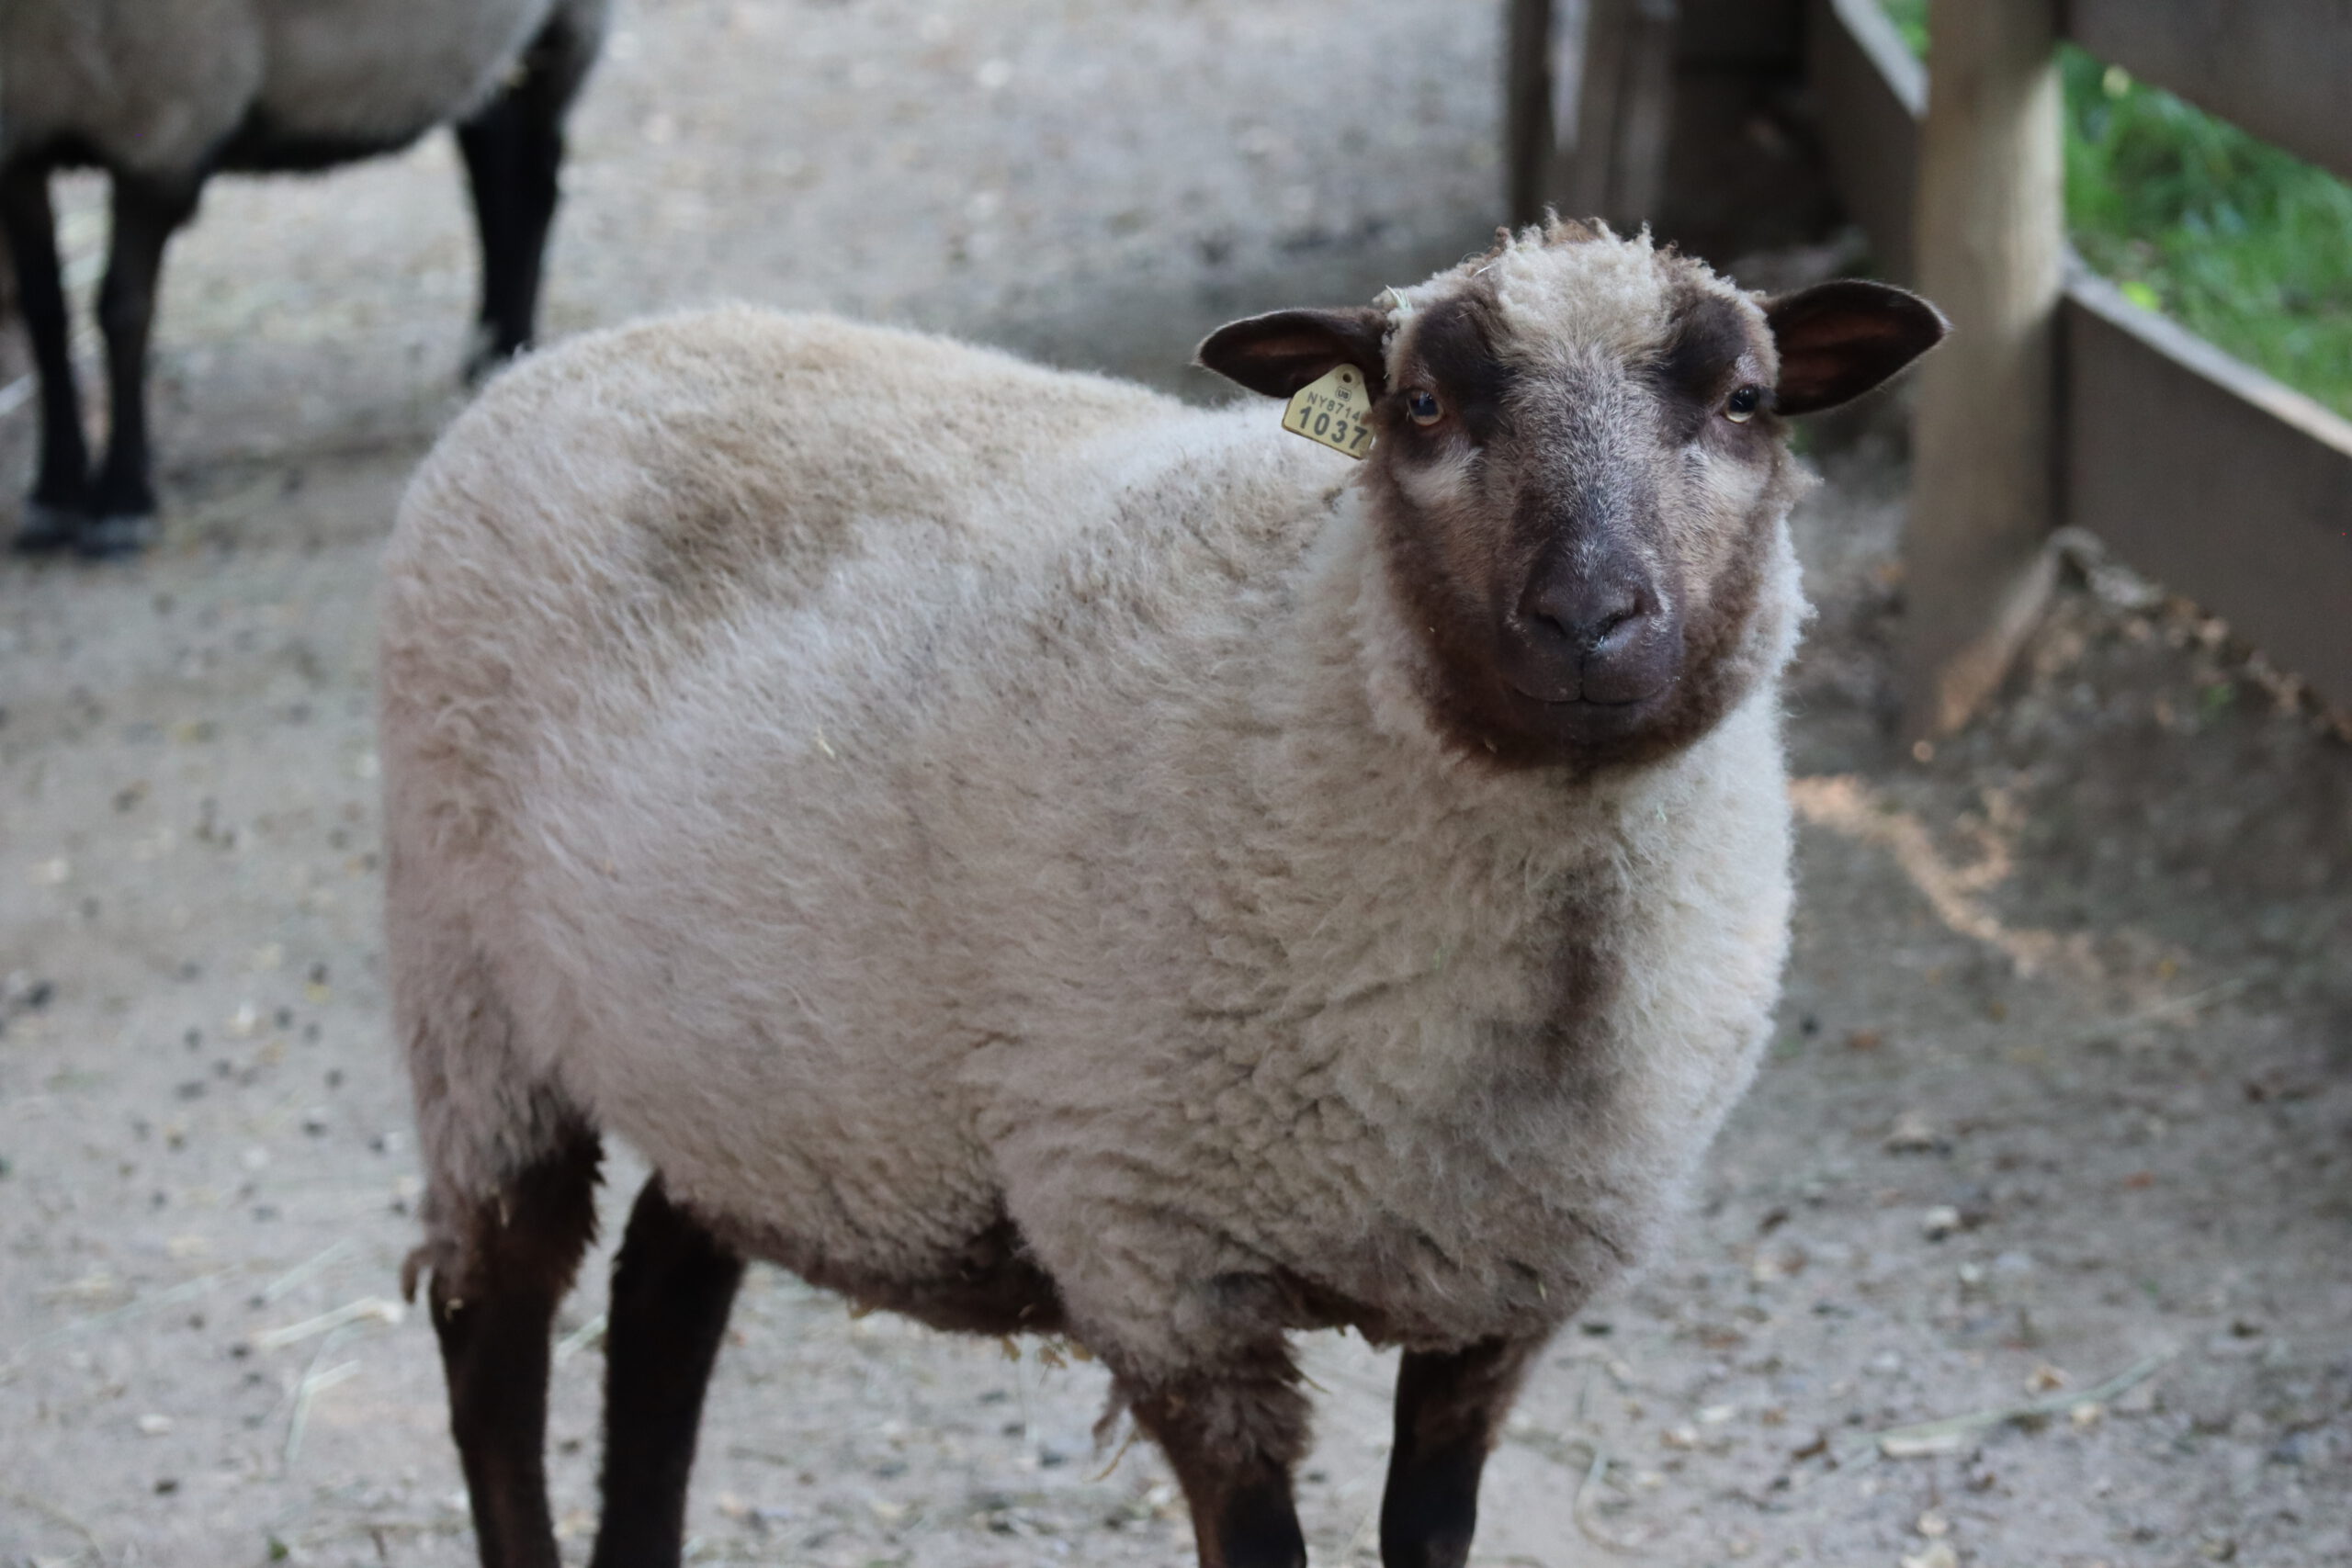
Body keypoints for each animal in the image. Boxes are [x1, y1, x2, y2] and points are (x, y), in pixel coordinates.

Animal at [2, 1, 606, 557]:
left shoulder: (169, 119)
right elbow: (44, 313)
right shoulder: (21, 136)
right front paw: (54, 493)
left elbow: (123, 312)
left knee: (530, 182)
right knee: (499, 162)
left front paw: (121, 499)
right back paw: (491, 358)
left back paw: (508, 351)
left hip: (568, 23)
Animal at [376, 220, 1938, 1568]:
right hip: (471, 995)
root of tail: (586, 350)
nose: (1589, 620)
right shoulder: (1161, 1256)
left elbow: (1430, 1529)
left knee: (662, 1290)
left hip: (759, 1062)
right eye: (1424, 405)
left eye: (1746, 400)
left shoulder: (1503, 1293)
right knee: (487, 1320)